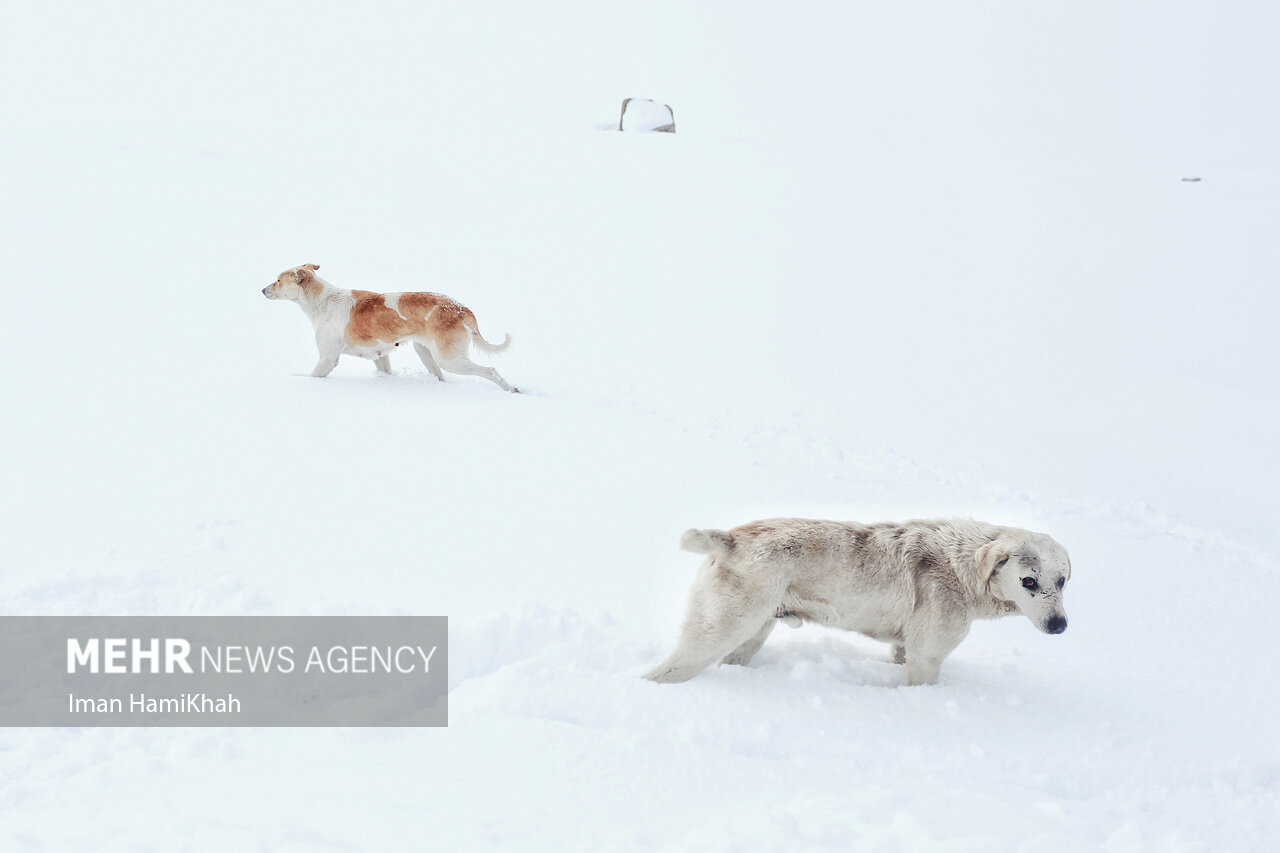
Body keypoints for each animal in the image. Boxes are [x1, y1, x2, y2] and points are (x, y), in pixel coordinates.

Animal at [262, 262, 517, 391]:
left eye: (278, 280)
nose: (262, 290)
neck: (321, 300)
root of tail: (461, 308)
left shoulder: (327, 358)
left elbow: (314, 376)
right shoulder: (380, 356)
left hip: (450, 359)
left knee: (490, 370)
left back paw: (511, 390)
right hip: (426, 353)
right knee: (441, 377)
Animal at [645, 512, 1075, 686]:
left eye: (1062, 581)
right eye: (1028, 581)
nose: (1060, 626)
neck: (961, 566)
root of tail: (729, 539)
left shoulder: (906, 649)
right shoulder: (927, 656)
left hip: (751, 634)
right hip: (720, 630)